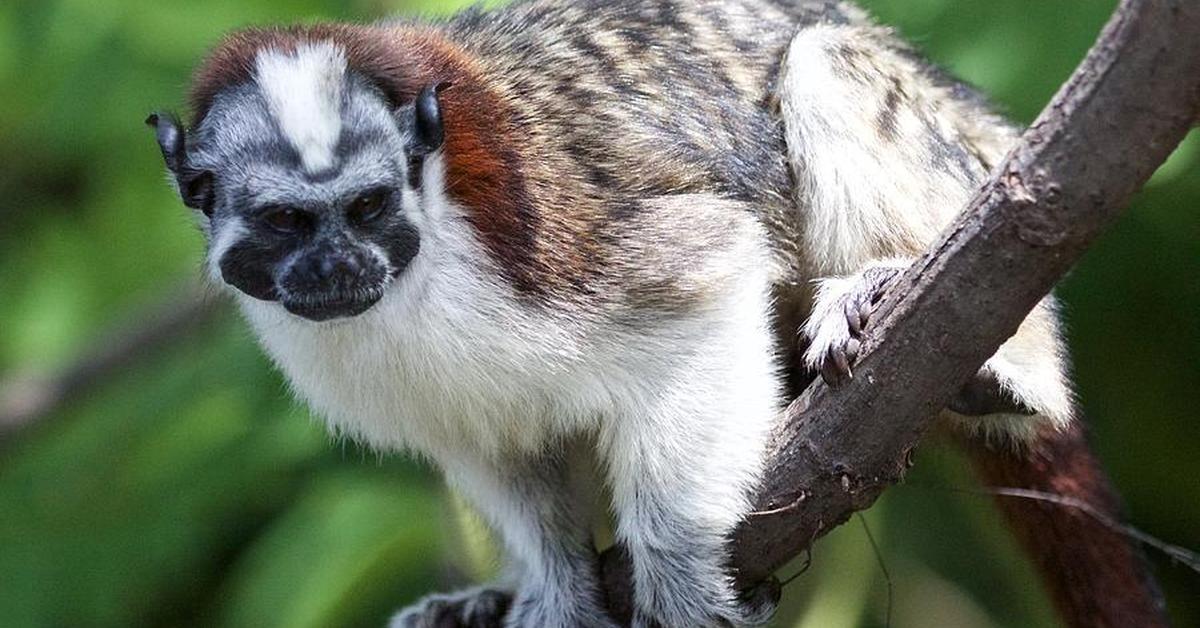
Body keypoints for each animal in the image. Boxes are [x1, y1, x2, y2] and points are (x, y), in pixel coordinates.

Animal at [145, 2, 1075, 624]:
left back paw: (985, 360)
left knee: (824, 65)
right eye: (285, 223)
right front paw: (552, 584)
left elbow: (712, 277)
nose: (338, 267)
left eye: (368, 208)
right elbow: (499, 447)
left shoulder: (568, 245)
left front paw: (674, 565)